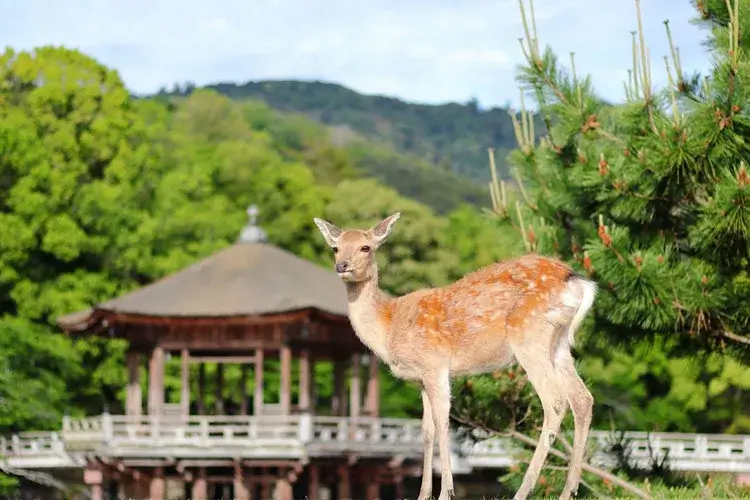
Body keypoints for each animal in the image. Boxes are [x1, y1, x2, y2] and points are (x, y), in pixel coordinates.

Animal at [314, 212, 596, 500]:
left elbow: (442, 424)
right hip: (559, 343)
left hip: (529, 337)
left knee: (556, 402)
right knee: (582, 398)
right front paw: (423, 494)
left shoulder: (434, 365)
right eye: (335, 248)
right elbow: (426, 431)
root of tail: (576, 280)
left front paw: (446, 491)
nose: (342, 265)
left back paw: (523, 490)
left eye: (366, 247)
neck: (389, 327)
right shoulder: (421, 379)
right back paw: (568, 490)